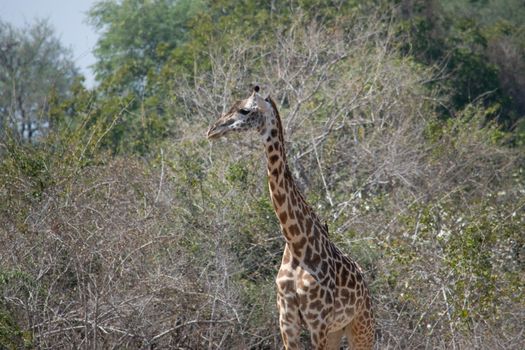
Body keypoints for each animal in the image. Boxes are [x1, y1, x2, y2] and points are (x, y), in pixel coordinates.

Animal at [207, 85, 374, 350]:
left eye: (244, 110)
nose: (212, 130)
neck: (297, 244)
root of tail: (366, 284)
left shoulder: (317, 322)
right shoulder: (287, 320)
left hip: (361, 326)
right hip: (337, 330)